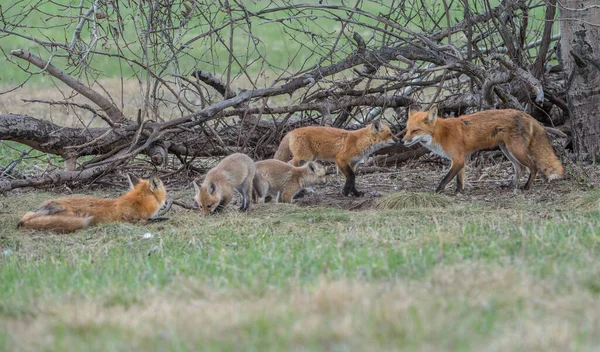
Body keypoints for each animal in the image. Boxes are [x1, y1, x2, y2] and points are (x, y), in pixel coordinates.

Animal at [17, 174, 168, 234]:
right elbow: (152, 220)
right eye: (165, 193)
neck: (138, 201)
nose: (167, 202)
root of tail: (23, 221)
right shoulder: (135, 221)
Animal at [400, 106, 564, 192]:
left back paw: (526, 187)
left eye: (415, 131)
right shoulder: (461, 160)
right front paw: (459, 192)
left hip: (516, 150)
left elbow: (445, 179)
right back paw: (511, 185)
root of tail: (526, 114)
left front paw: (436, 192)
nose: (402, 141)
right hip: (507, 150)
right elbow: (460, 179)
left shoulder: (458, 160)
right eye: (407, 130)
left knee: (533, 167)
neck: (442, 134)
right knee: (520, 169)